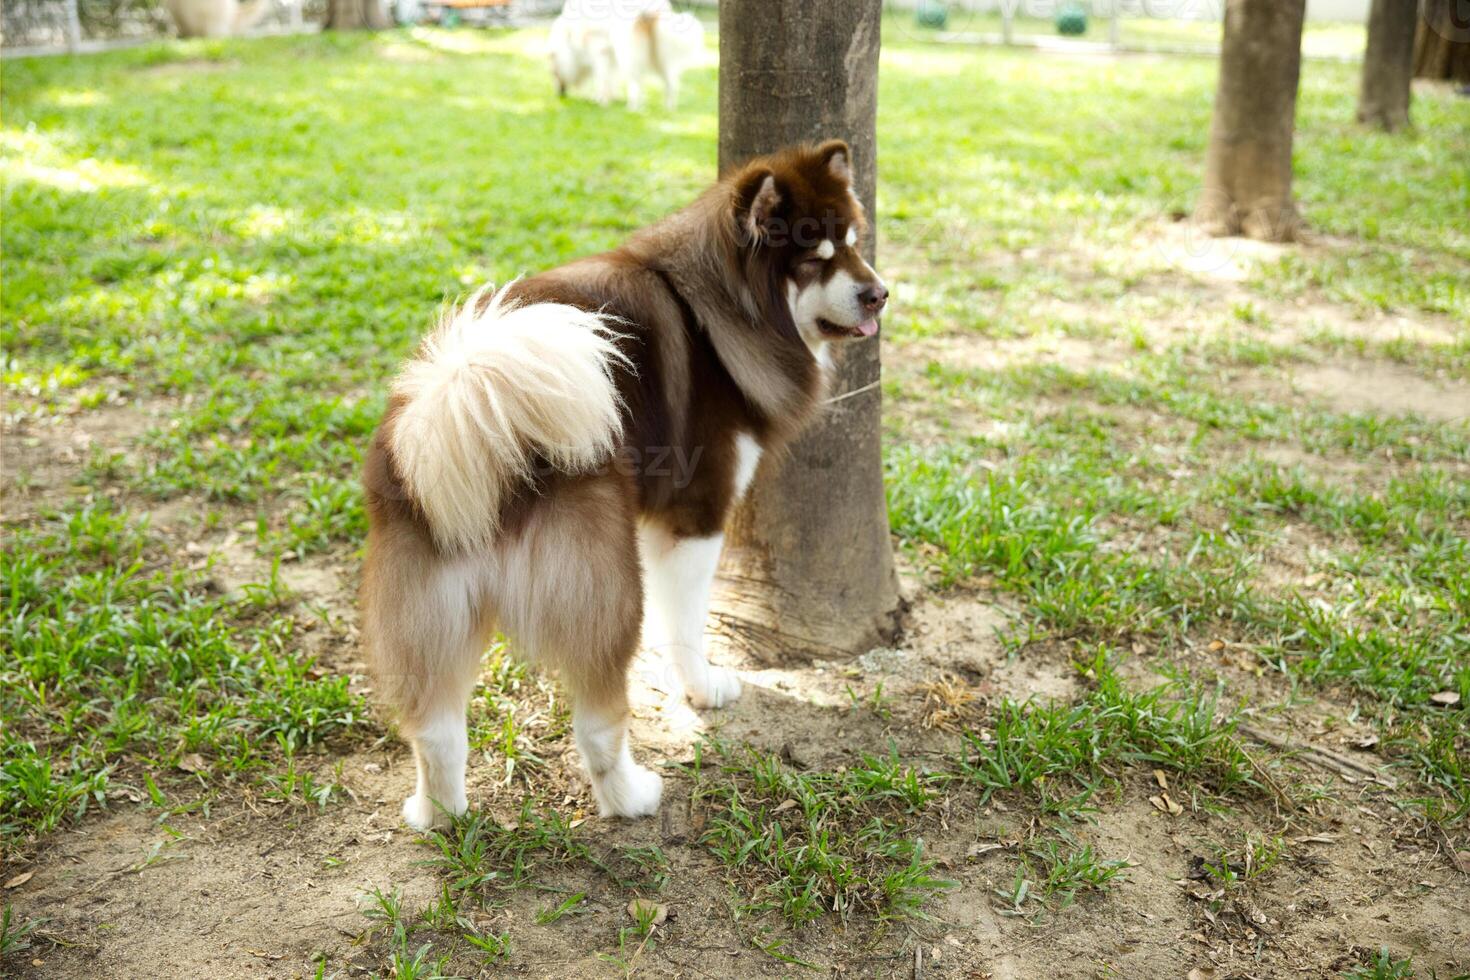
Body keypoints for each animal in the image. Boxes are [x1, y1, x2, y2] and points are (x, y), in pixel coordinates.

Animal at [361, 139, 887, 828]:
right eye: (814, 259)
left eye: (852, 242)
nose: (880, 294)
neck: (716, 311)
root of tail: (474, 415)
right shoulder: (695, 518)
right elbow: (686, 623)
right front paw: (703, 687)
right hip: (603, 590)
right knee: (597, 723)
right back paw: (632, 798)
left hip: (433, 610)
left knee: (436, 731)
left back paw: (440, 817)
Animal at [552, 0, 708, 110]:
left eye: (553, 72)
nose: (559, 94)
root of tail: (653, 8)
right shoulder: (610, 55)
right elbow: (611, 78)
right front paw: (611, 97)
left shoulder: (600, 51)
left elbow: (602, 79)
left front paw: (601, 100)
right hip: (658, 54)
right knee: (670, 82)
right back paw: (668, 108)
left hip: (628, 53)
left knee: (635, 82)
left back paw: (633, 107)